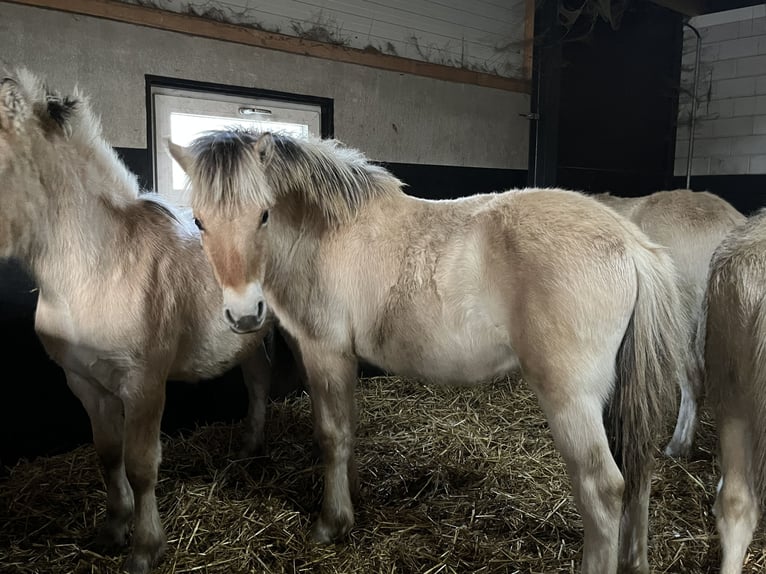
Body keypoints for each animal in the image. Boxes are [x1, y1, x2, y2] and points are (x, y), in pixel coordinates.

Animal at [0, 70, 292, 574]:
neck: (97, 268)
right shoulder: (85, 383)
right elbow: (107, 455)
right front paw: (112, 529)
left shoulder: (143, 385)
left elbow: (139, 465)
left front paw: (144, 549)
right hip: (248, 334)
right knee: (258, 382)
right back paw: (248, 447)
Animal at [167, 127, 687, 574]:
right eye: (199, 221)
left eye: (264, 214)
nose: (244, 315)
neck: (326, 233)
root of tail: (630, 243)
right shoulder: (343, 359)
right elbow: (349, 429)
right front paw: (354, 498)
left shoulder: (324, 353)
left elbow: (331, 435)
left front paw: (332, 523)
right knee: (638, 472)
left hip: (571, 401)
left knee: (603, 488)